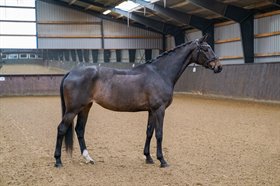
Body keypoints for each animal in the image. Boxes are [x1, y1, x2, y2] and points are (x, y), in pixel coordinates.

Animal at [53, 34, 222, 167]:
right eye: (206, 48)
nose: (218, 67)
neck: (160, 73)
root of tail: (71, 72)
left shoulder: (152, 111)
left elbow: (149, 132)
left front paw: (149, 158)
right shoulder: (159, 110)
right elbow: (159, 134)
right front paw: (162, 161)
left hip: (85, 107)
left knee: (80, 130)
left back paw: (88, 158)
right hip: (73, 109)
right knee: (61, 129)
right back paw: (58, 161)